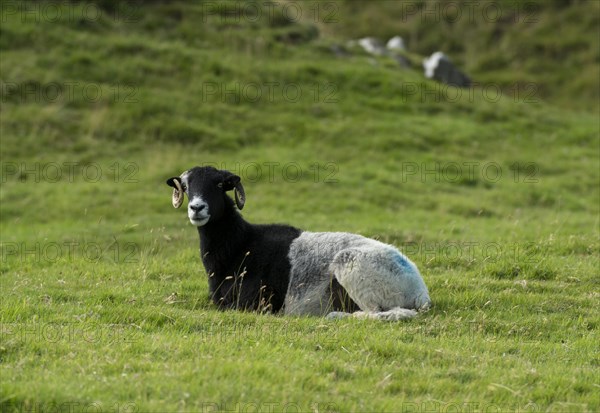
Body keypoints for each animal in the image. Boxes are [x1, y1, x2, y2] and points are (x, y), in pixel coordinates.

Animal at [168, 166, 432, 320]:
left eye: (220, 185)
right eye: (187, 186)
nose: (197, 208)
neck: (241, 243)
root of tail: (419, 290)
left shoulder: (254, 304)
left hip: (356, 271)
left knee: (391, 313)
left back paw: (337, 316)